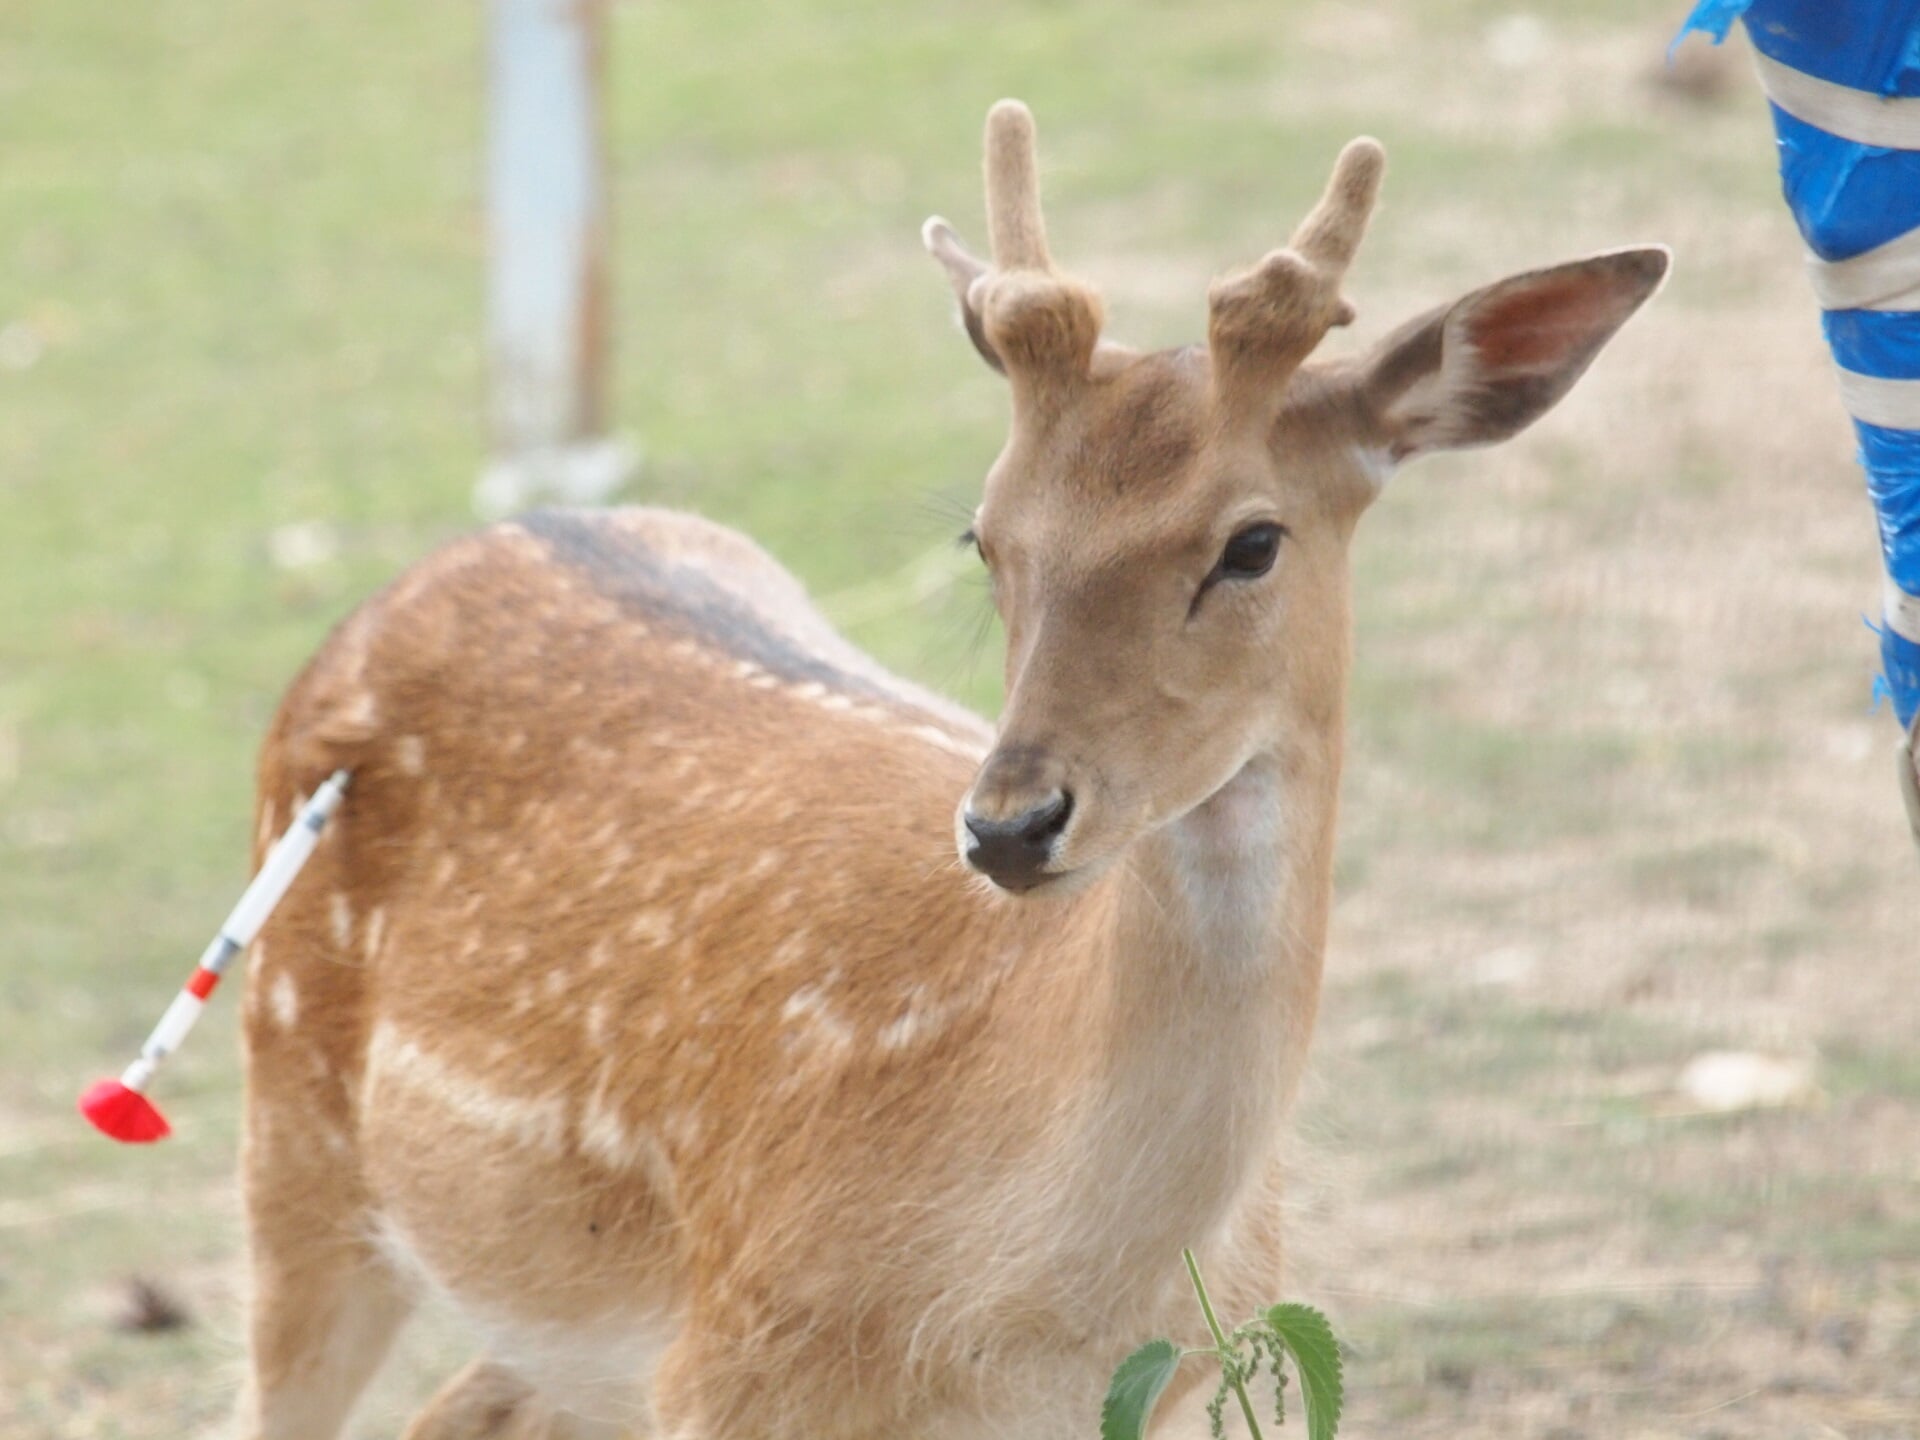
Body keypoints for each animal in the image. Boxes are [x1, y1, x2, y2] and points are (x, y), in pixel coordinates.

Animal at [234, 100, 1666, 1440]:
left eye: (1254, 542)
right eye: (985, 533)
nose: (1012, 827)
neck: (1020, 1303)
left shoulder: (1159, 1385)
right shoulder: (731, 1365)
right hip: (289, 1122)